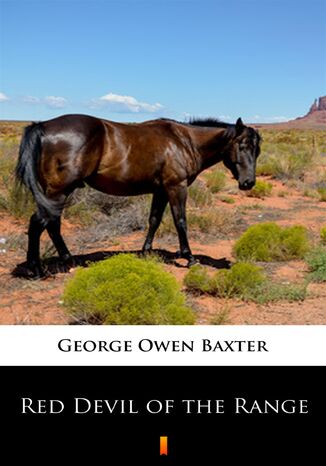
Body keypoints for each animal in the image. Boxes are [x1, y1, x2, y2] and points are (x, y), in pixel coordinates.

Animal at [15, 114, 262, 278]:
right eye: (242, 146)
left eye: (257, 150)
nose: (248, 183)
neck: (184, 140)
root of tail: (42, 126)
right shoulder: (176, 187)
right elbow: (180, 221)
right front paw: (190, 258)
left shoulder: (161, 190)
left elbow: (154, 220)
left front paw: (146, 251)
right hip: (58, 192)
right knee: (40, 223)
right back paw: (36, 269)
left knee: (51, 224)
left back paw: (67, 260)